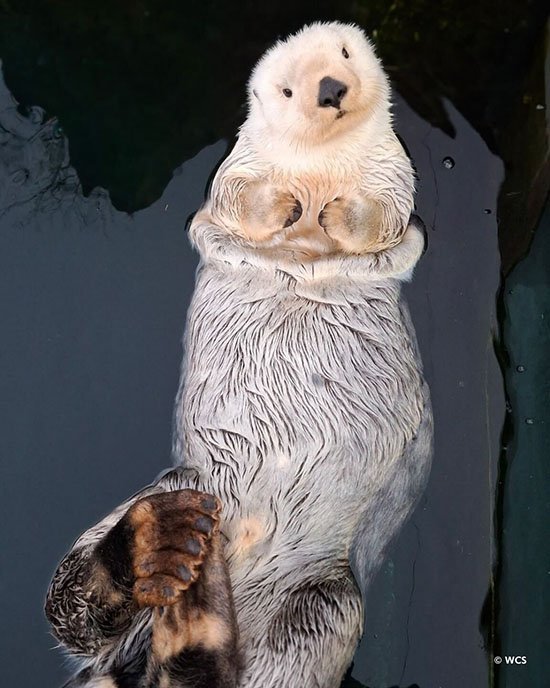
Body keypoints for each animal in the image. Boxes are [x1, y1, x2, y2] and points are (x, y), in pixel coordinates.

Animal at [45, 22, 432, 688]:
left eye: (345, 54)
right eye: (287, 89)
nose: (330, 89)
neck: (318, 168)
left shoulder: (392, 169)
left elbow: (383, 213)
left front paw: (337, 212)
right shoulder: (238, 167)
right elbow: (236, 199)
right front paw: (286, 206)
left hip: (318, 603)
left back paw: (194, 628)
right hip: (180, 484)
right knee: (69, 604)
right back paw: (155, 549)